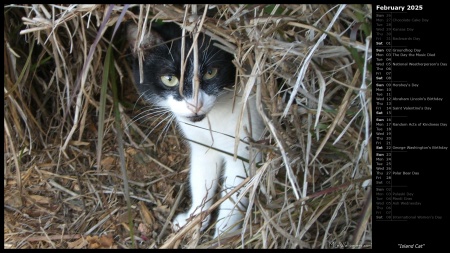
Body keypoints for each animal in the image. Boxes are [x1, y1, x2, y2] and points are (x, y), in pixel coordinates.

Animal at [125, 21, 264, 237]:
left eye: (210, 72)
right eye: (169, 79)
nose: (194, 105)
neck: (211, 123)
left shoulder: (245, 147)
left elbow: (233, 197)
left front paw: (222, 236)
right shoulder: (203, 148)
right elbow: (201, 179)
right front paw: (193, 218)